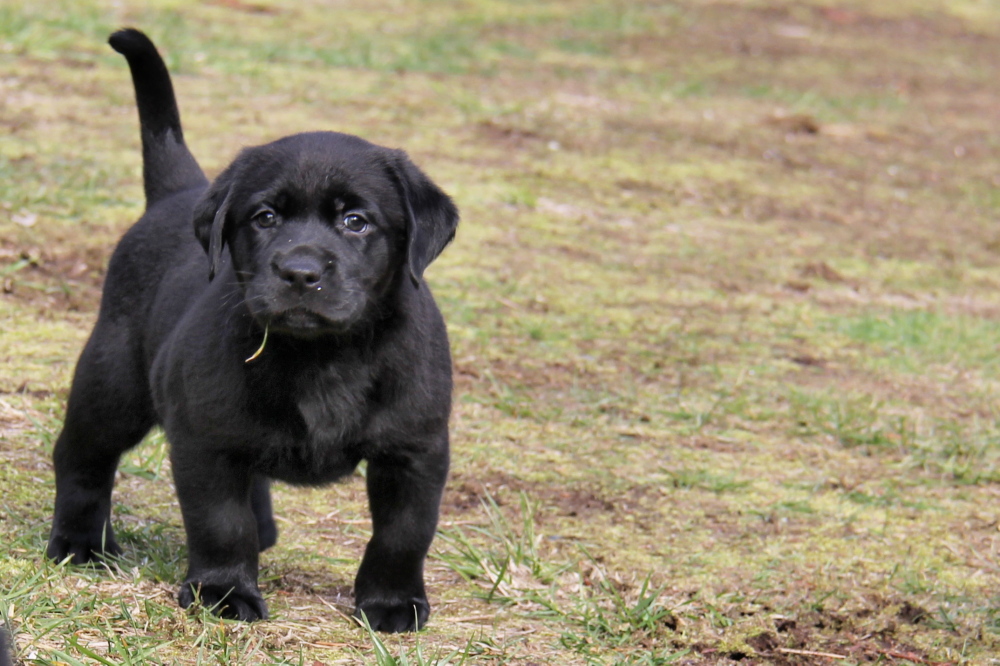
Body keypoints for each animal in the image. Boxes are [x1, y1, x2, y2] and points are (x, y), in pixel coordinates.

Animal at [44, 29, 458, 632]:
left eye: (356, 221)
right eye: (265, 217)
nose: (300, 271)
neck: (323, 356)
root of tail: (178, 194)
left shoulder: (415, 449)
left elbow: (403, 534)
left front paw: (391, 603)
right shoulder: (206, 441)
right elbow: (220, 522)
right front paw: (223, 592)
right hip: (112, 382)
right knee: (82, 458)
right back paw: (80, 544)